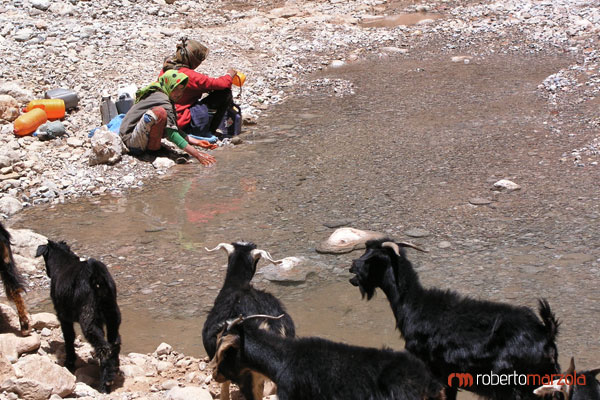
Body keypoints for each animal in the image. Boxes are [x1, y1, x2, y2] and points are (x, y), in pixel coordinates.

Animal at [35, 239, 122, 392]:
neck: (62, 262)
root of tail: (97, 277)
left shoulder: (63, 317)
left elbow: (69, 338)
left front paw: (69, 363)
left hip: (89, 321)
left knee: (104, 348)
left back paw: (105, 383)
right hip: (113, 317)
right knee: (115, 344)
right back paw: (113, 373)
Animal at [350, 239, 560, 400]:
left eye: (374, 258)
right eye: (365, 250)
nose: (352, 267)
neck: (413, 305)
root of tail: (546, 332)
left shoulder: (433, 371)